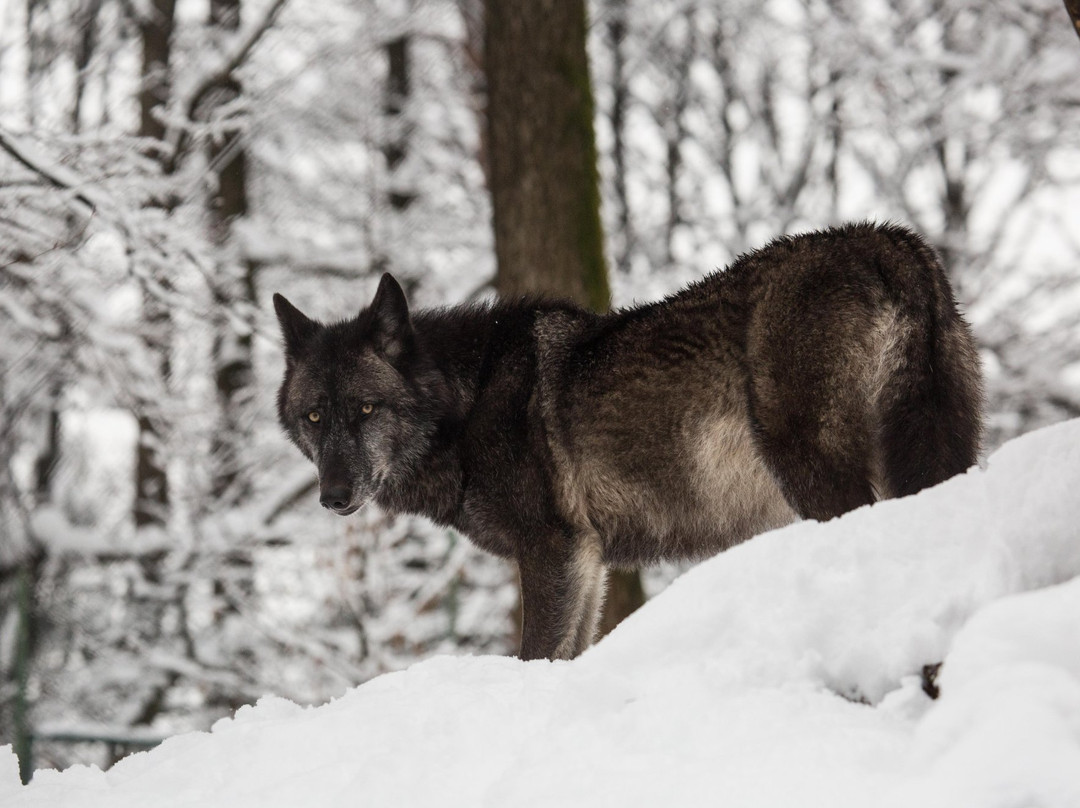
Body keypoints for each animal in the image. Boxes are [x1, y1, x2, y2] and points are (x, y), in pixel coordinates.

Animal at [274, 222, 984, 661]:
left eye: (366, 408)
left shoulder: (552, 549)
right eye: (313, 417)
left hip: (811, 473)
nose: (332, 496)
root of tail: (888, 240)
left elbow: (536, 654)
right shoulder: (587, 561)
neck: (465, 404)